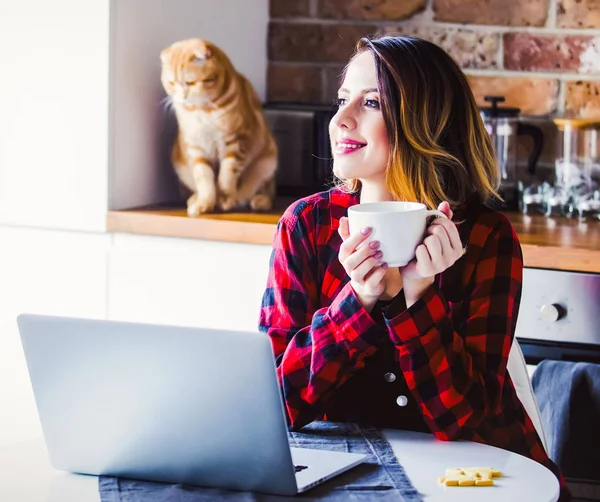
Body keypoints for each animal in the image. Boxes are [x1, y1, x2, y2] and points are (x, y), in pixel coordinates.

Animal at [162, 37, 278, 214]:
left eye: (190, 82)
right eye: (171, 83)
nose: (182, 97)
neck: (202, 110)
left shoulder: (236, 141)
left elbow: (227, 174)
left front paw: (224, 198)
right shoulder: (196, 148)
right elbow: (204, 178)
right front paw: (204, 203)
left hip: (267, 162)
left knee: (266, 191)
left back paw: (258, 201)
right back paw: (194, 199)